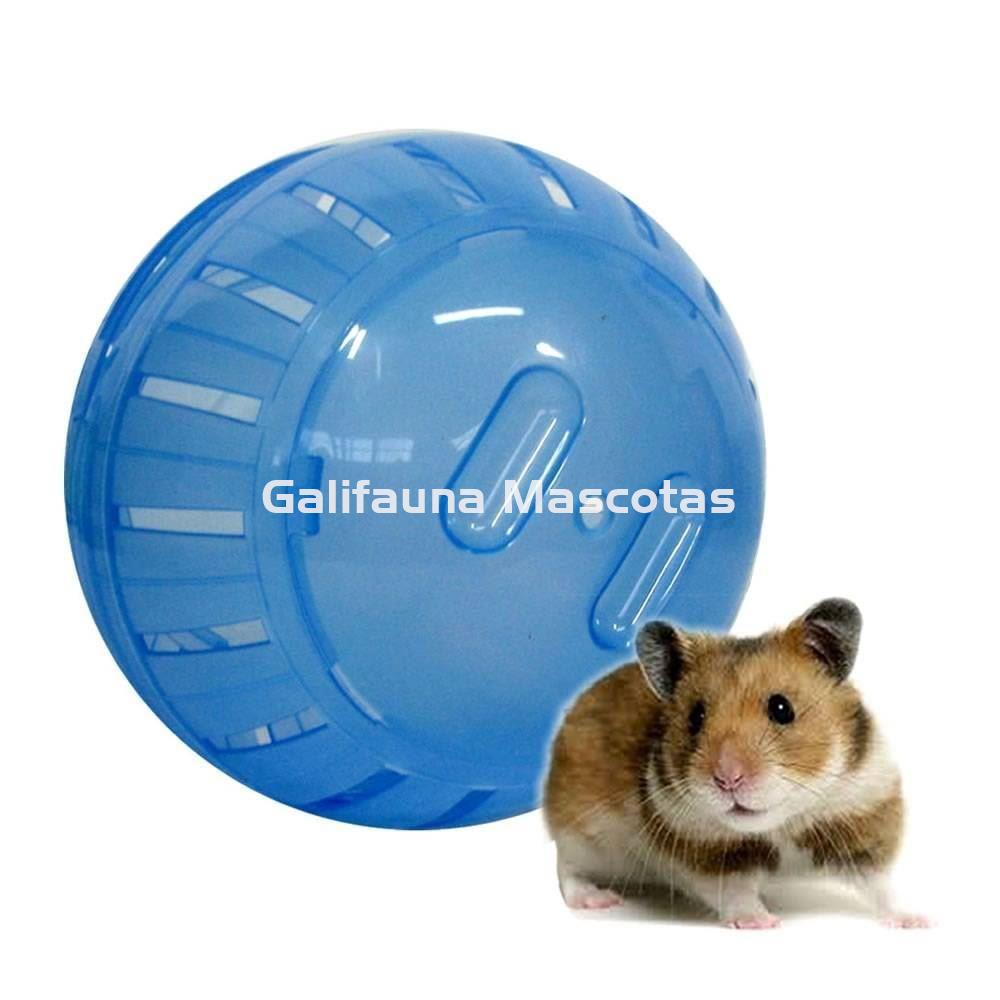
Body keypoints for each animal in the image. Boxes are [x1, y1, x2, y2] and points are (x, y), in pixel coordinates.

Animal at [544, 599, 927, 928]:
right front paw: (763, 923)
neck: (780, 825)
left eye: (782, 708)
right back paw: (598, 899)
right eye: (696, 717)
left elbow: (883, 886)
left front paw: (919, 920)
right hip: (579, 830)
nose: (727, 778)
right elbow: (736, 892)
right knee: (566, 869)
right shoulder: (709, 855)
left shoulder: (860, 820)